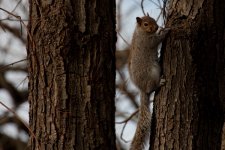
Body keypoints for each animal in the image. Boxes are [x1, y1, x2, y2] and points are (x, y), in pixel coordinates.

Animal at [127, 14, 170, 150]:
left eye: (154, 20)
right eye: (145, 24)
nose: (156, 27)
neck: (141, 32)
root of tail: (142, 89)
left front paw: (161, 30)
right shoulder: (147, 42)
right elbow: (155, 41)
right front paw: (165, 31)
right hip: (153, 72)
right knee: (152, 87)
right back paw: (159, 83)